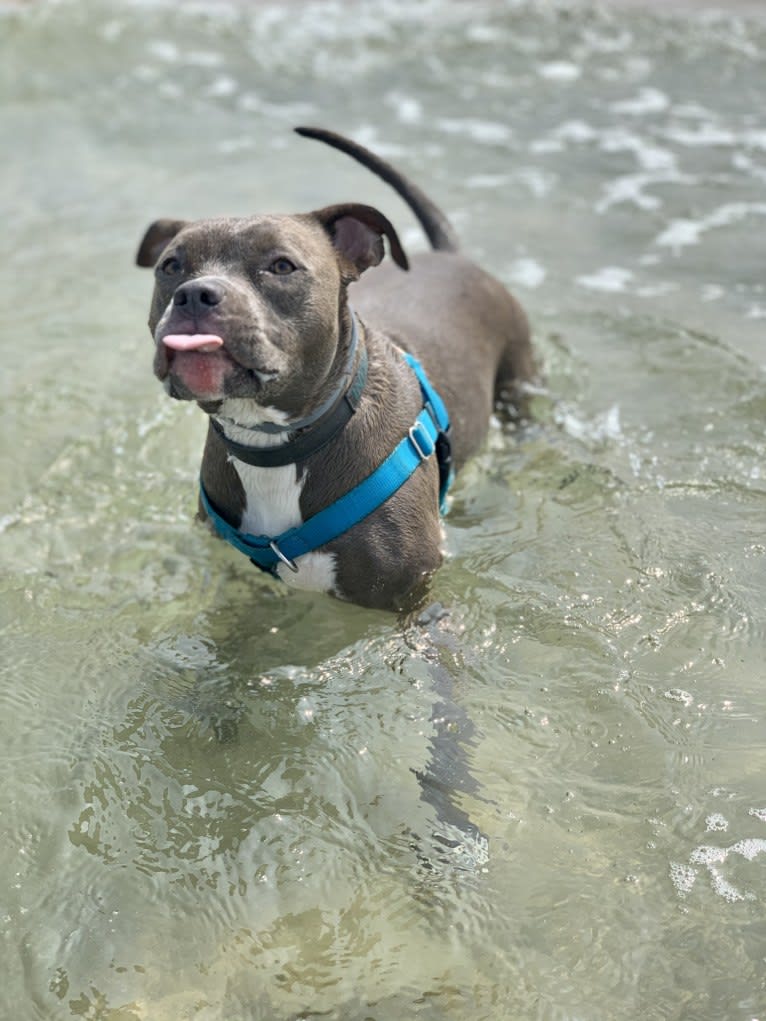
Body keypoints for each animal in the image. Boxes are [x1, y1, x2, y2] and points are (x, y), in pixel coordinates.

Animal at [136, 125, 535, 604]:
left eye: (281, 266)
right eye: (171, 266)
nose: (196, 294)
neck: (274, 445)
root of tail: (453, 256)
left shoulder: (412, 592)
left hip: (520, 383)